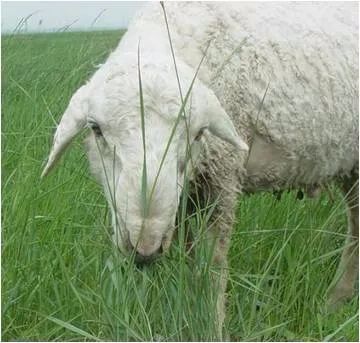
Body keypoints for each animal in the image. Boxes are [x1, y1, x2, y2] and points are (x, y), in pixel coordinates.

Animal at [41, 2, 358, 342]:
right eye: (96, 129)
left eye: (198, 134)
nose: (144, 250)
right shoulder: (183, 201)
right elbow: (190, 270)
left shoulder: (219, 181)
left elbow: (210, 273)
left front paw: (210, 329)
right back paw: (336, 302)